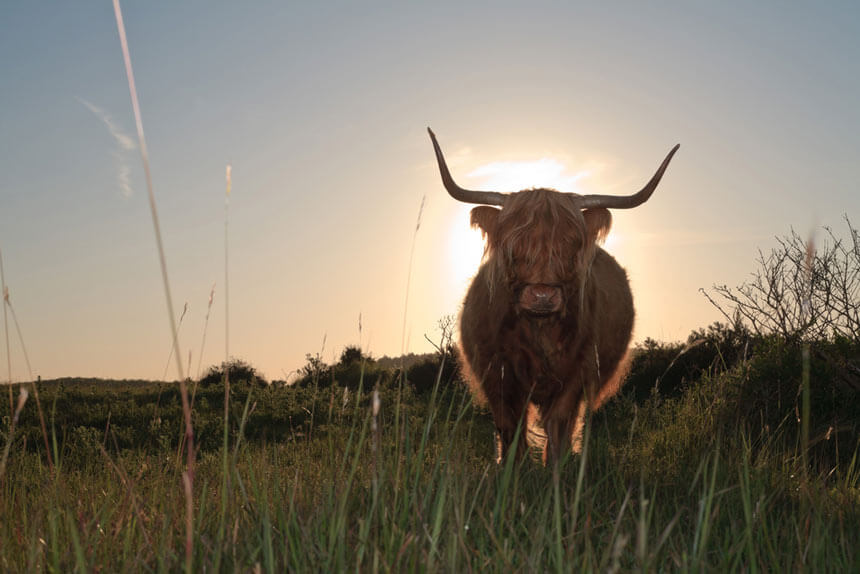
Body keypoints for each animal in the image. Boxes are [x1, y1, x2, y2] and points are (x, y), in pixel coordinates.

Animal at [430, 128, 680, 466]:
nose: (542, 295)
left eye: (571, 243)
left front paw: (555, 471)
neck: (539, 331)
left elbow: (559, 426)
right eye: (513, 245)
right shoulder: (497, 375)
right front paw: (511, 470)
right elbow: (510, 429)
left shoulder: (576, 374)